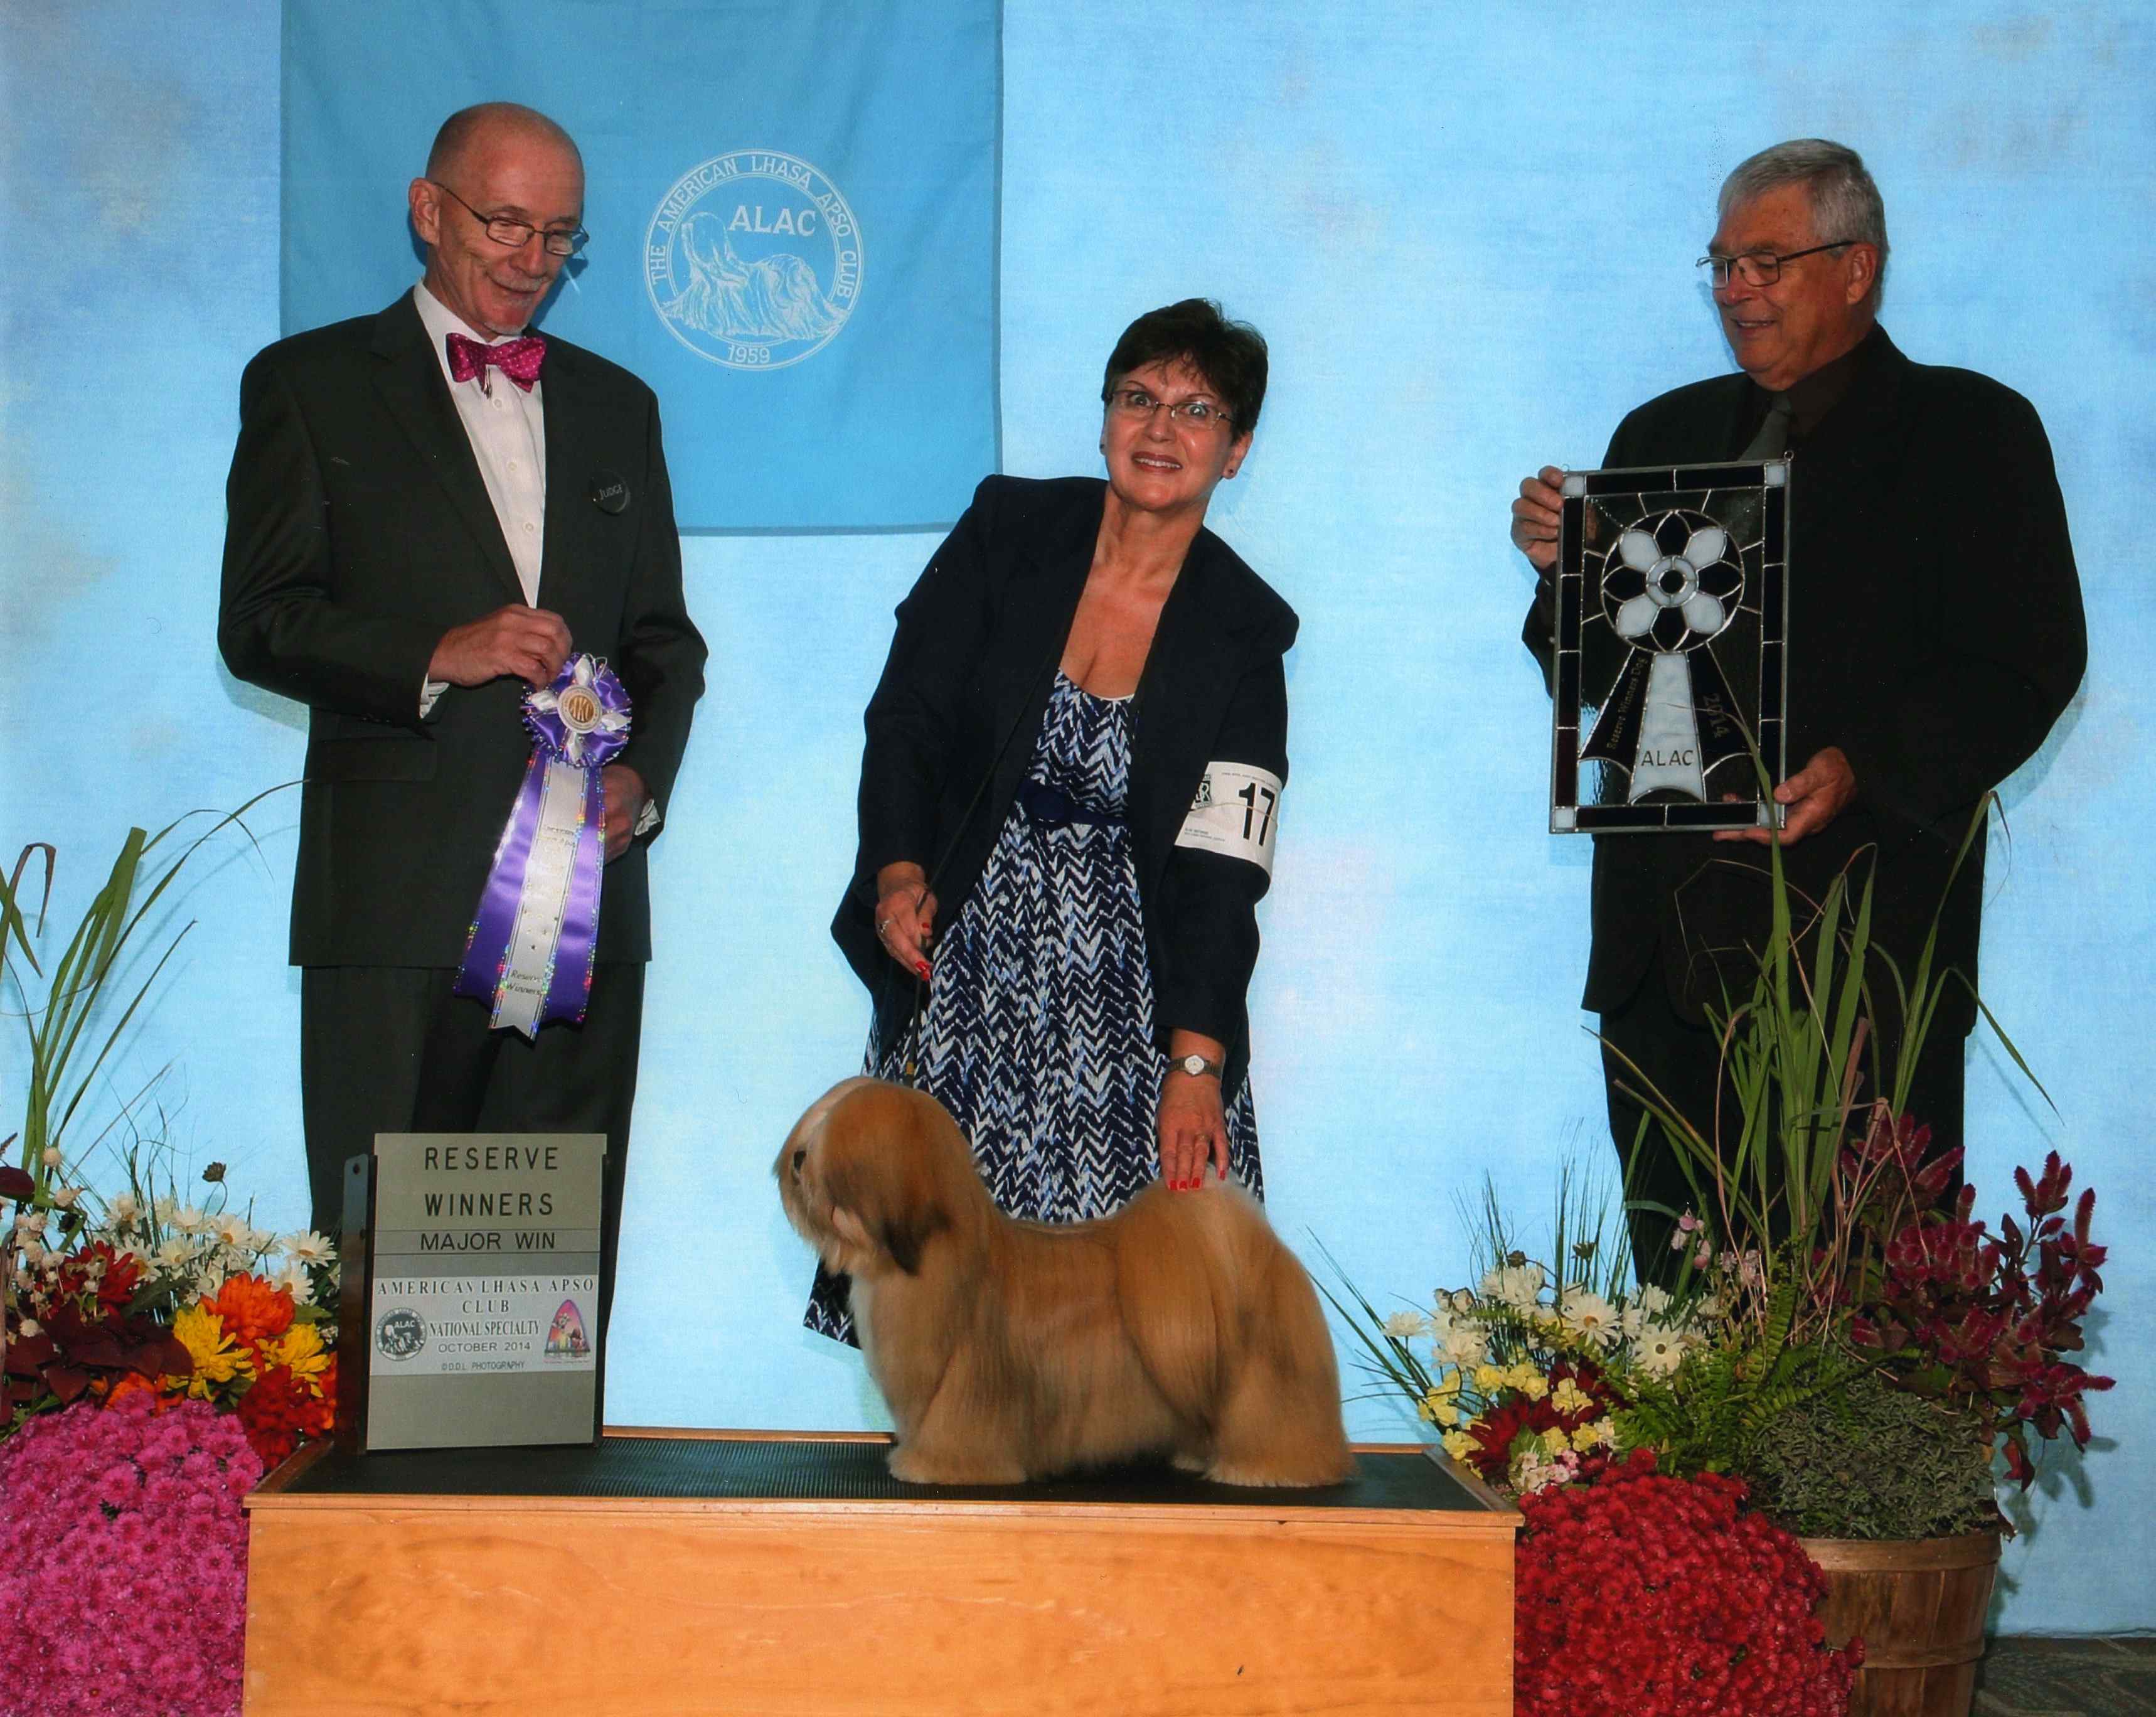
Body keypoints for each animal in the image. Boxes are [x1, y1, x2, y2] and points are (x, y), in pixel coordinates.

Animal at [776, 1074, 1345, 1492]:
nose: (797, 1161)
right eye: (811, 1134)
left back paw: (1272, 1467)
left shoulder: (970, 1381)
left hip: (1264, 1379)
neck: (938, 1253)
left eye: (836, 1148)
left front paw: (937, 1465)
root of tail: (1254, 1248)